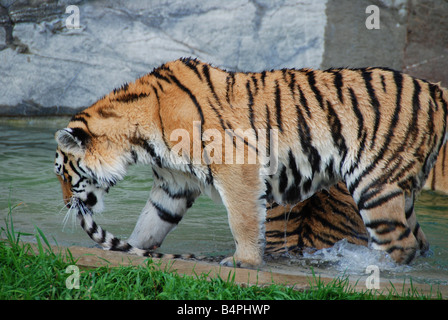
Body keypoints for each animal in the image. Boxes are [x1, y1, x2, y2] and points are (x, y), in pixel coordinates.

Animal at [53, 58, 448, 268]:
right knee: (417, 239)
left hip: (374, 184)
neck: (137, 139)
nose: (66, 204)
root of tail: (434, 90)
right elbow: (151, 222)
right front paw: (127, 250)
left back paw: (365, 269)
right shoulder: (172, 184)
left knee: (398, 244)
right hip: (399, 189)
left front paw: (243, 262)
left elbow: (242, 219)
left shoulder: (237, 165)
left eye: (64, 175)